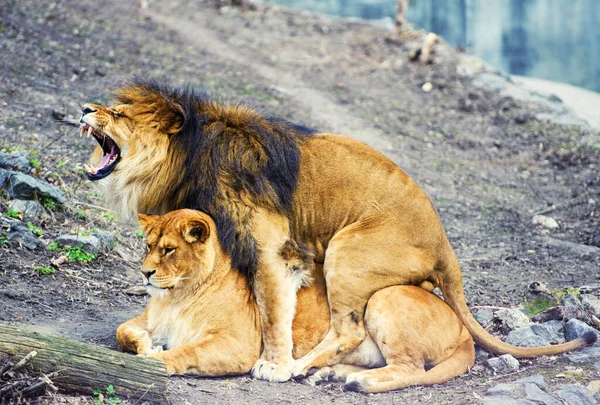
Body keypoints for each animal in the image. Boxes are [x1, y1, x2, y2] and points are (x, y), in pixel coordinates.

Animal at [117, 208, 478, 392]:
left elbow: (185, 351)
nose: (145, 273)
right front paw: (149, 345)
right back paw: (327, 375)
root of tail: (464, 330)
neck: (178, 296)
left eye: (169, 250)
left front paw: (153, 360)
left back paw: (356, 381)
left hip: (383, 297)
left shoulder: (238, 345)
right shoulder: (142, 320)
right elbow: (124, 331)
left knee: (410, 369)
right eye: (147, 245)